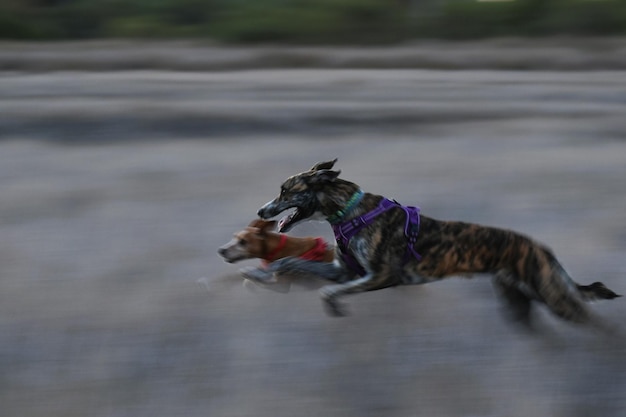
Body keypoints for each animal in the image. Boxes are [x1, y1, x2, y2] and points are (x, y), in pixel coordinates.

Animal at [256, 159, 616, 328]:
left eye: (286, 191)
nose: (260, 212)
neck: (351, 212)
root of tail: (543, 249)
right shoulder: (345, 272)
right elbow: (293, 263)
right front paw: (266, 274)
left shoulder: (383, 276)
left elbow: (328, 292)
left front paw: (334, 306)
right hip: (522, 297)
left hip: (554, 297)